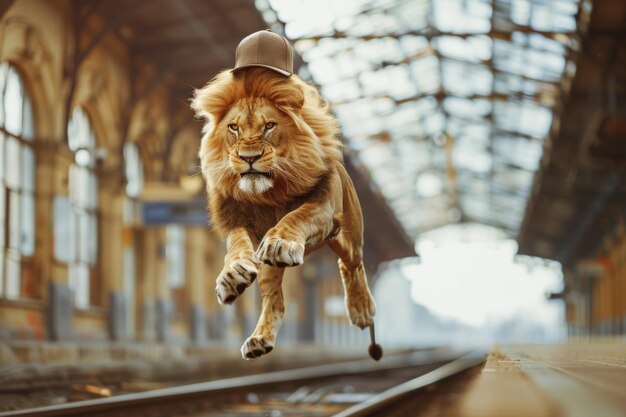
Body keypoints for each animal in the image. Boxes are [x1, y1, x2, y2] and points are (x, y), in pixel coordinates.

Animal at [191, 68, 376, 358]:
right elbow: (236, 244)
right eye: (234, 127)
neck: (269, 194)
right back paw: (259, 340)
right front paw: (233, 276)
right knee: (274, 299)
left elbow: (295, 217)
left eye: (269, 126)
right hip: (270, 270)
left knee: (351, 264)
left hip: (349, 235)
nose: (249, 157)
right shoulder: (240, 219)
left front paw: (280, 243)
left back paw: (362, 310)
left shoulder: (321, 208)